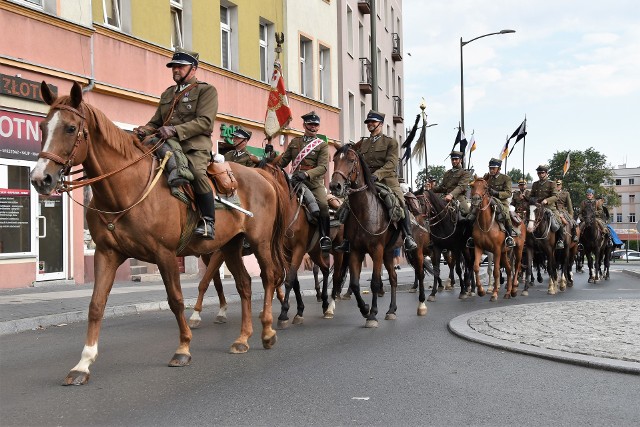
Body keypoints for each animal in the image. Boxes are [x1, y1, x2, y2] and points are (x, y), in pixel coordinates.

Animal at [30, 82, 288, 386]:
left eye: (70, 128)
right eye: (43, 126)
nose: (40, 179)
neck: (125, 187)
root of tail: (263, 177)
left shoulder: (165, 254)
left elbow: (176, 300)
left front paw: (183, 349)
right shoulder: (106, 254)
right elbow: (96, 305)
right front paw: (83, 364)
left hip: (260, 243)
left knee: (269, 277)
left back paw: (268, 331)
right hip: (230, 246)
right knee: (245, 285)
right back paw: (242, 339)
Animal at [328, 145, 428, 328]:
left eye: (351, 160)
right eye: (335, 160)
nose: (334, 186)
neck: (364, 209)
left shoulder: (376, 250)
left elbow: (375, 282)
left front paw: (373, 315)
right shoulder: (355, 251)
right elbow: (354, 284)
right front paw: (365, 309)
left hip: (415, 250)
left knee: (420, 273)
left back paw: (422, 305)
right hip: (388, 253)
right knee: (394, 278)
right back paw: (391, 310)